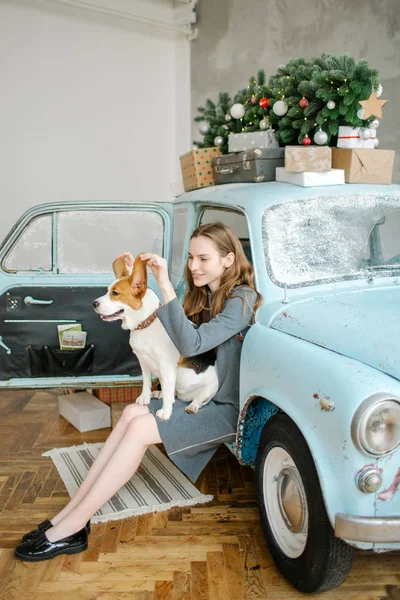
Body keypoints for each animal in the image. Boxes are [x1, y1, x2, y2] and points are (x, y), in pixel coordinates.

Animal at [93, 253, 219, 422]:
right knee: (173, 393)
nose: (94, 303)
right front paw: (144, 397)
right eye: (107, 291)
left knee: (198, 400)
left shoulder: (167, 367)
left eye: (115, 293)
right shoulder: (143, 362)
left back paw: (192, 406)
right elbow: (146, 382)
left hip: (209, 388)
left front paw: (166, 412)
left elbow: (167, 391)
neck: (146, 325)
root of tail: (185, 397)